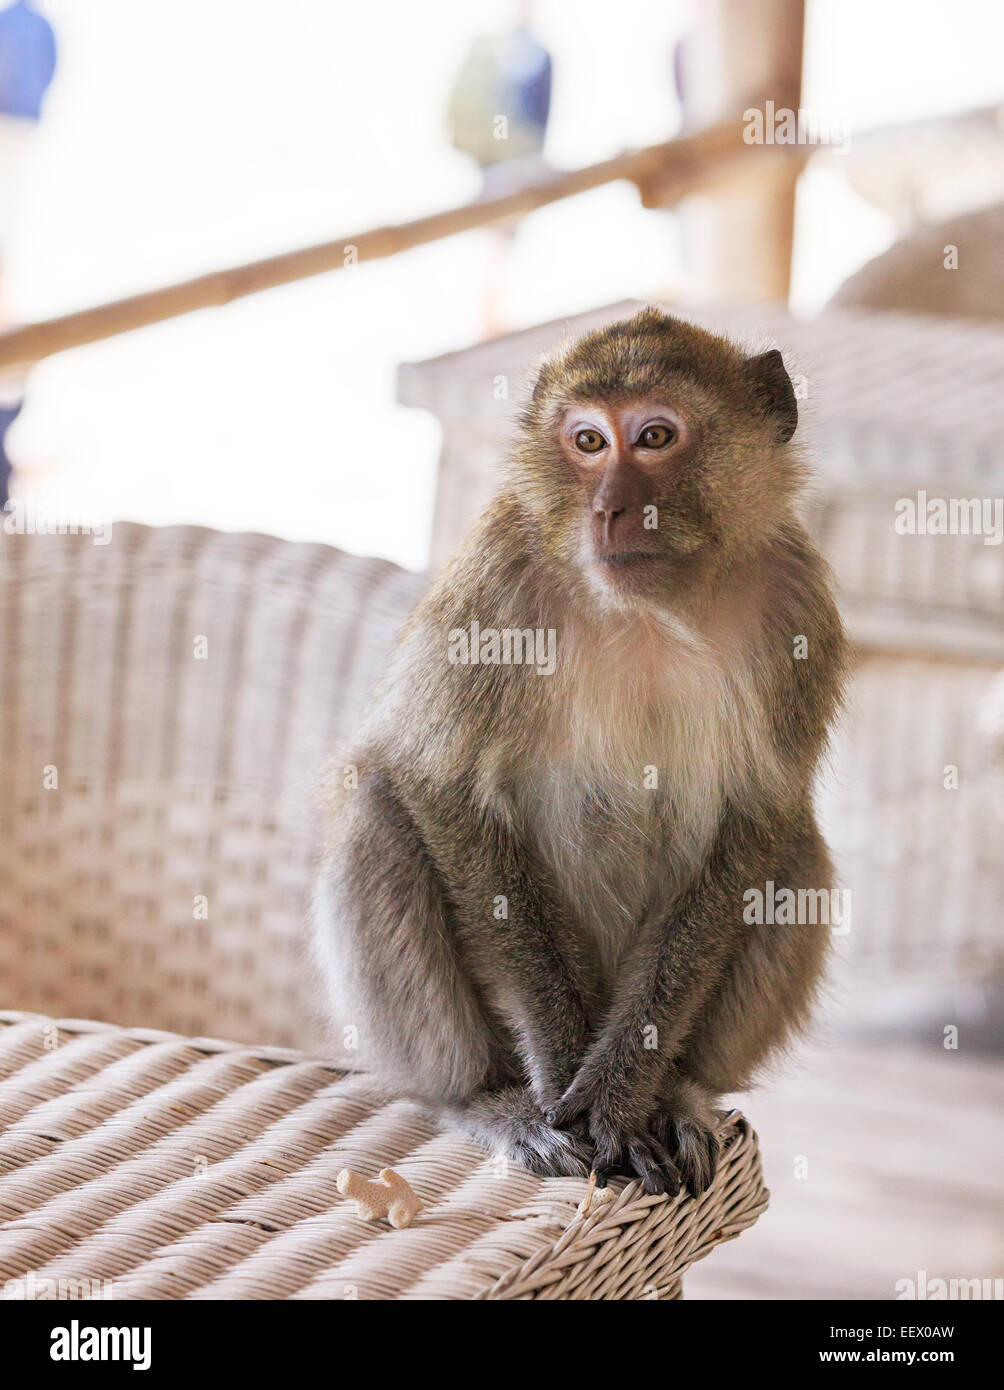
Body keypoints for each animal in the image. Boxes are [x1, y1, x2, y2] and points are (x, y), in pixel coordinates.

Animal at [311, 304, 845, 1195]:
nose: (609, 510)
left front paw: (623, 1093)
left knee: (796, 851)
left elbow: (755, 823)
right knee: (381, 815)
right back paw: (483, 1097)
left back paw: (684, 1091)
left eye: (656, 436)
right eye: (589, 442)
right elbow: (437, 783)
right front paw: (565, 1067)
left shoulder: (795, 600)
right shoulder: (495, 572)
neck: (654, 605)